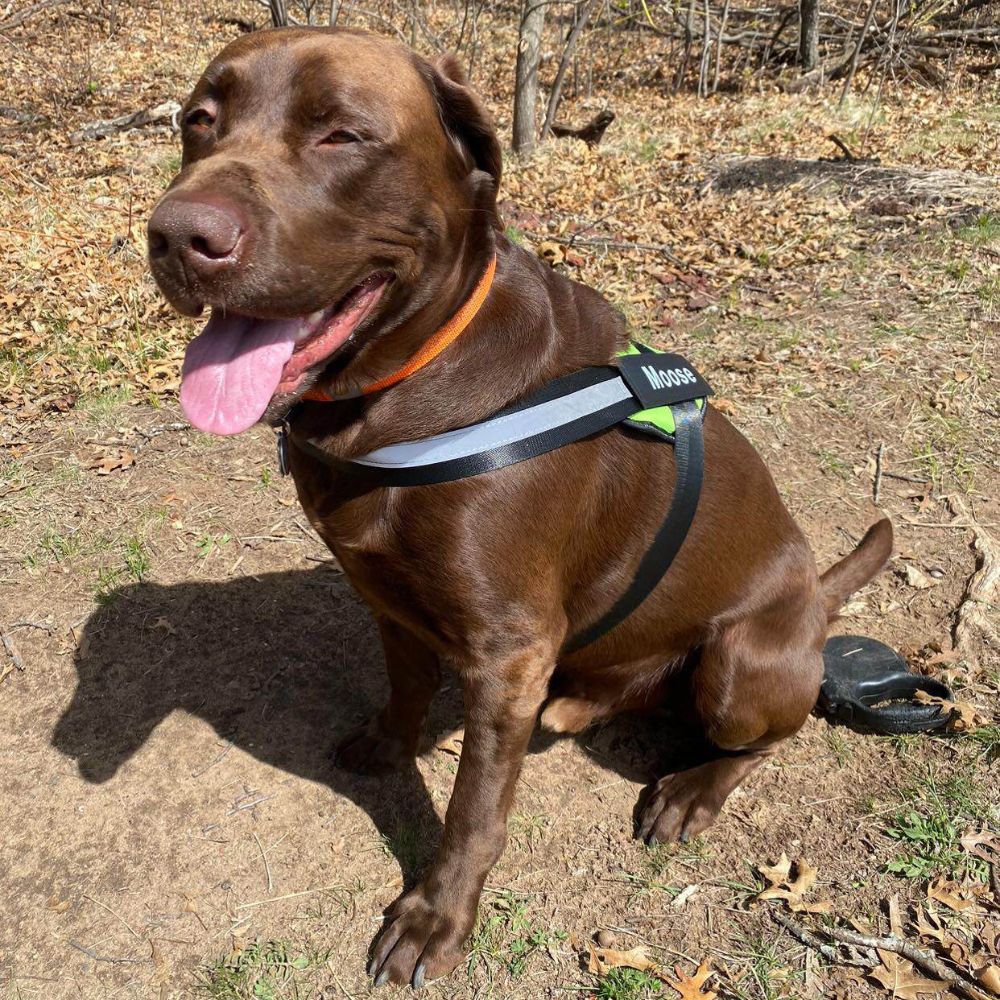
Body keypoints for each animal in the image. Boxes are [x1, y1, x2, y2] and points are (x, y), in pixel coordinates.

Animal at [146, 27, 892, 988]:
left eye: (342, 134)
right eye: (199, 120)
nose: (176, 235)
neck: (409, 383)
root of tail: (817, 597)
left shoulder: (509, 651)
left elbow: (474, 809)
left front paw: (434, 919)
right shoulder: (387, 594)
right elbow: (403, 685)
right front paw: (387, 743)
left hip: (741, 664)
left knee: (758, 737)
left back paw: (690, 791)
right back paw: (578, 707)